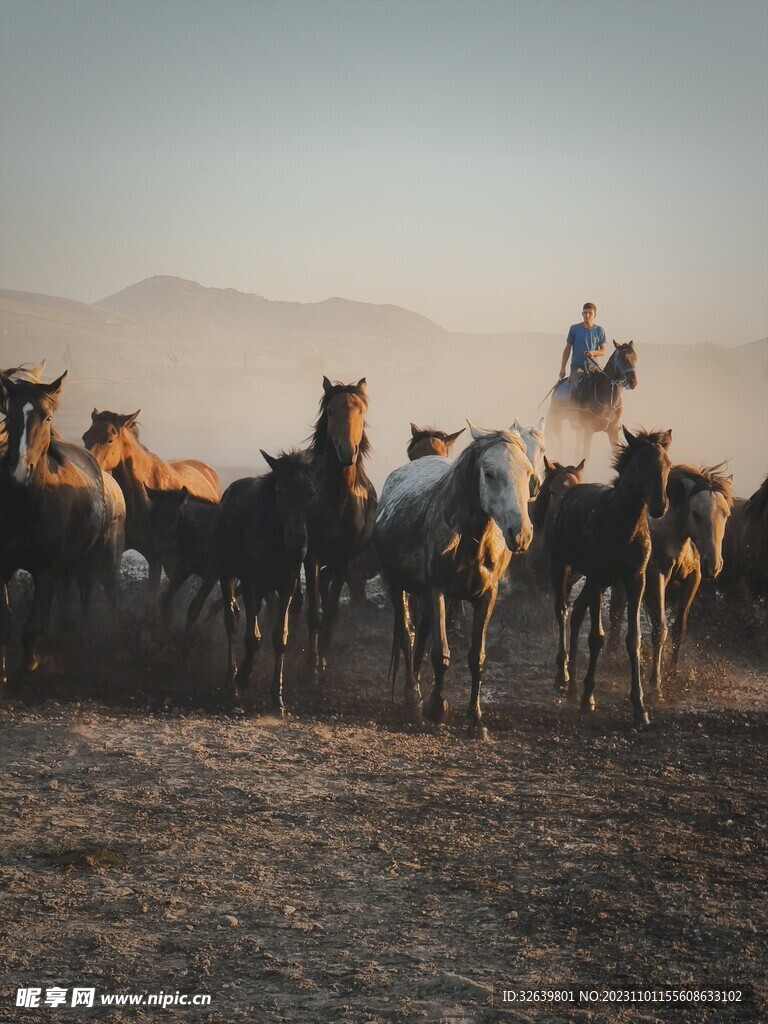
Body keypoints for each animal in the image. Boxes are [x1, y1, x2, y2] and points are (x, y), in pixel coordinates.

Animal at [0, 372, 121, 684]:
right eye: (10, 415)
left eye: (47, 417)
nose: (20, 472)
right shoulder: (3, 567)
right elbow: (6, 622)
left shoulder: (46, 569)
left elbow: (32, 626)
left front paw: (29, 666)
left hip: (87, 559)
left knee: (82, 595)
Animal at [217, 450, 315, 713]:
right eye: (279, 491)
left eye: (311, 493)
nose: (297, 546)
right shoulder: (251, 581)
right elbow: (253, 638)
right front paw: (241, 680)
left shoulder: (288, 585)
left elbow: (279, 636)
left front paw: (277, 695)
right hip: (227, 573)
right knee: (231, 619)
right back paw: (231, 681)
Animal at [374, 424, 533, 739]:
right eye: (489, 473)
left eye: (529, 472)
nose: (520, 534)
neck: (471, 541)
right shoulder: (437, 591)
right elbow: (441, 654)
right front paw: (436, 708)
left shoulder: (486, 596)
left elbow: (477, 657)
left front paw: (476, 719)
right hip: (395, 585)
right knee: (408, 634)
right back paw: (413, 696)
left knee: (421, 632)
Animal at [549, 427, 672, 727]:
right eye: (639, 464)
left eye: (668, 464)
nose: (659, 505)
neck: (623, 526)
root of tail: (568, 491)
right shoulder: (596, 577)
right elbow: (596, 637)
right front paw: (588, 699)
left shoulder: (634, 579)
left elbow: (633, 639)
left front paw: (640, 707)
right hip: (564, 565)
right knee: (563, 610)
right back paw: (564, 678)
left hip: (599, 580)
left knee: (577, 612)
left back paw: (572, 687)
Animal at [608, 464, 733, 697]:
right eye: (696, 513)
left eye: (726, 514)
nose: (713, 564)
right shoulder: (657, 576)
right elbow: (660, 630)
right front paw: (655, 684)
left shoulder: (693, 579)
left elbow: (678, 629)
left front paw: (672, 674)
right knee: (616, 613)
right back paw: (610, 656)